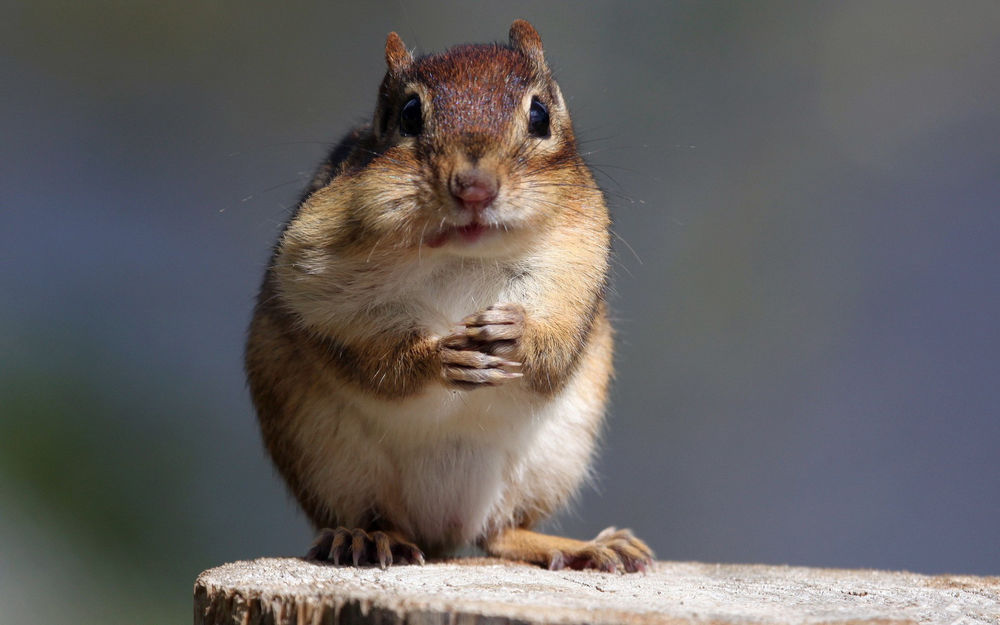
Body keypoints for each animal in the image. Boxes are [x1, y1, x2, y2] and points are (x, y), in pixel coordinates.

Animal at [245, 20, 653, 573]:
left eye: (540, 116)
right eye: (409, 115)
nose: (474, 188)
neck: (464, 255)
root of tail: (442, 532)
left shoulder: (576, 275)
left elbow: (556, 351)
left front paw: (515, 334)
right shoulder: (311, 281)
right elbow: (370, 360)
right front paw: (440, 356)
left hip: (548, 463)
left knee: (501, 533)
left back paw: (584, 546)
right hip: (327, 462)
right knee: (376, 515)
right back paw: (364, 538)